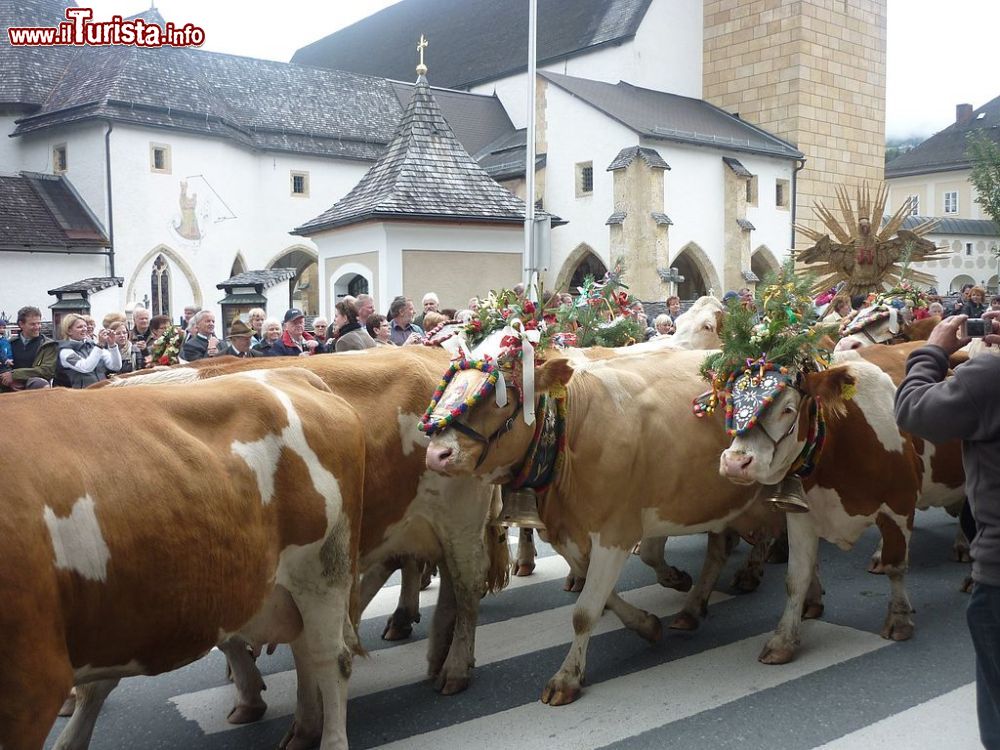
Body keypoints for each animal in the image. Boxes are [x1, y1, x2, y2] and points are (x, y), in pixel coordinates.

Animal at [0, 370, 368, 750]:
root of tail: (290, 374)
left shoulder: (30, 687)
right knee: (303, 647)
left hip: (323, 569)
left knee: (331, 657)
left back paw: (329, 738)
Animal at [426, 350, 916, 708]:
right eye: (445, 387)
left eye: (500, 397)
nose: (436, 454)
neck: (575, 429)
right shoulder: (572, 532)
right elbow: (601, 594)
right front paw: (647, 624)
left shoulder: (616, 528)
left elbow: (586, 610)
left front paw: (566, 678)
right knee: (731, 548)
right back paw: (704, 605)